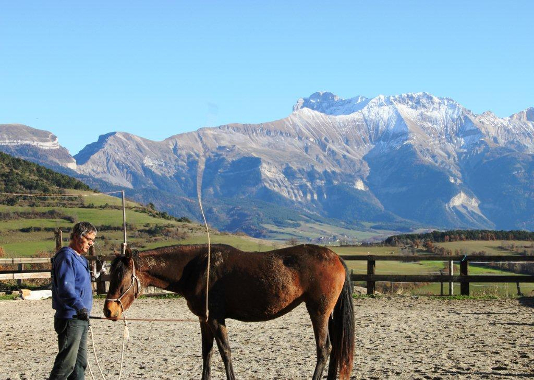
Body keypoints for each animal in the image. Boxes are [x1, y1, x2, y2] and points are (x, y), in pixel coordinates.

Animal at [104, 245, 356, 378]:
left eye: (122, 278)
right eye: (110, 274)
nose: (109, 310)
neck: (197, 269)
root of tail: (335, 257)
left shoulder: (216, 319)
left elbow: (225, 352)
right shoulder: (204, 320)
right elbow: (207, 354)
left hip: (319, 312)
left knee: (324, 349)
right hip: (329, 314)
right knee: (334, 349)